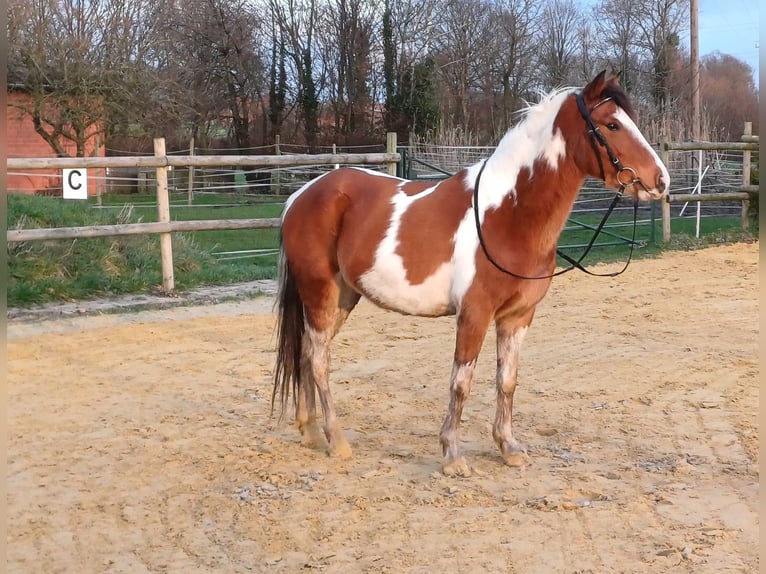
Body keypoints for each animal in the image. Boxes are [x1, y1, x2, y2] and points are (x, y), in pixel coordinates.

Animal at [272, 72, 668, 476]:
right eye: (612, 125)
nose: (660, 180)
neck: (508, 214)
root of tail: (300, 196)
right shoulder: (474, 314)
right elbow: (461, 382)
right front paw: (452, 455)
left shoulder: (517, 317)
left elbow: (507, 381)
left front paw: (508, 447)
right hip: (320, 293)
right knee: (319, 361)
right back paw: (336, 440)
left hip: (343, 297)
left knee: (306, 353)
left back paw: (311, 432)